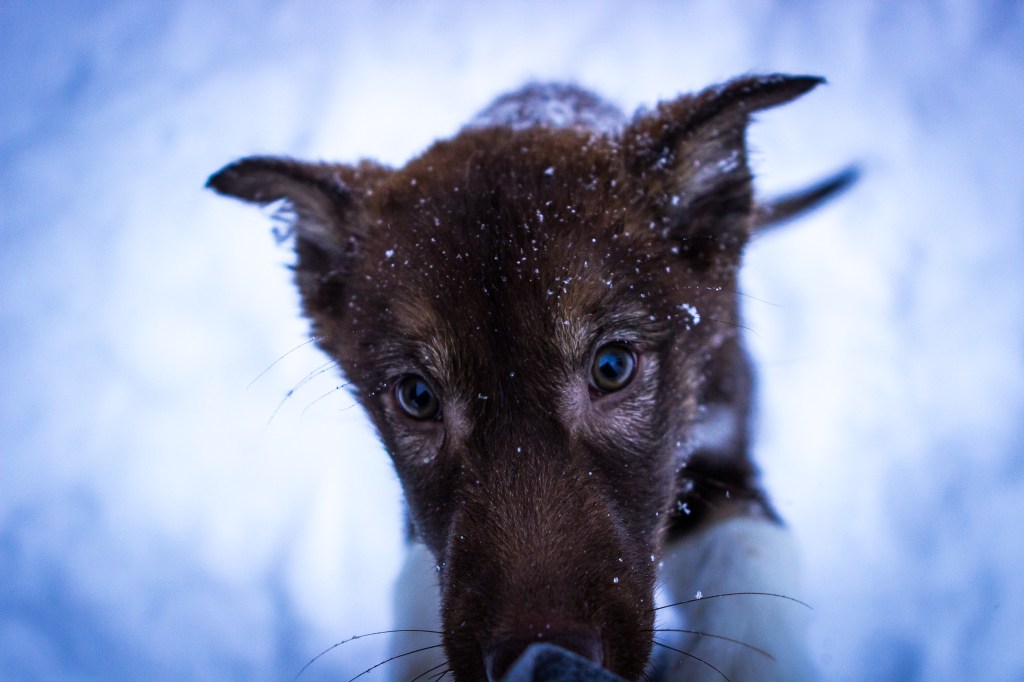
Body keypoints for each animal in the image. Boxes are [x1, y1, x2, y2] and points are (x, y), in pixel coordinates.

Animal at [208, 75, 854, 681]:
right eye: (416, 397)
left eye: (612, 368)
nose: (541, 660)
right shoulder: (422, 529)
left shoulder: (722, 452)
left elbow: (752, 556)